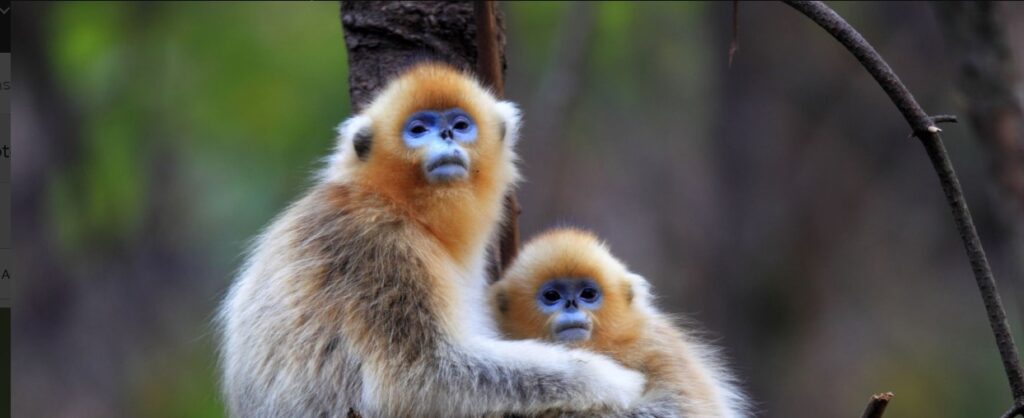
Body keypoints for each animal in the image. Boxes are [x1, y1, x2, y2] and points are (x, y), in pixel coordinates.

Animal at [217, 63, 646, 418]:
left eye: (460, 125)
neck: (395, 203)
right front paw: (611, 382)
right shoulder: (378, 245)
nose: (444, 135)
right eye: (418, 130)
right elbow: (421, 376)